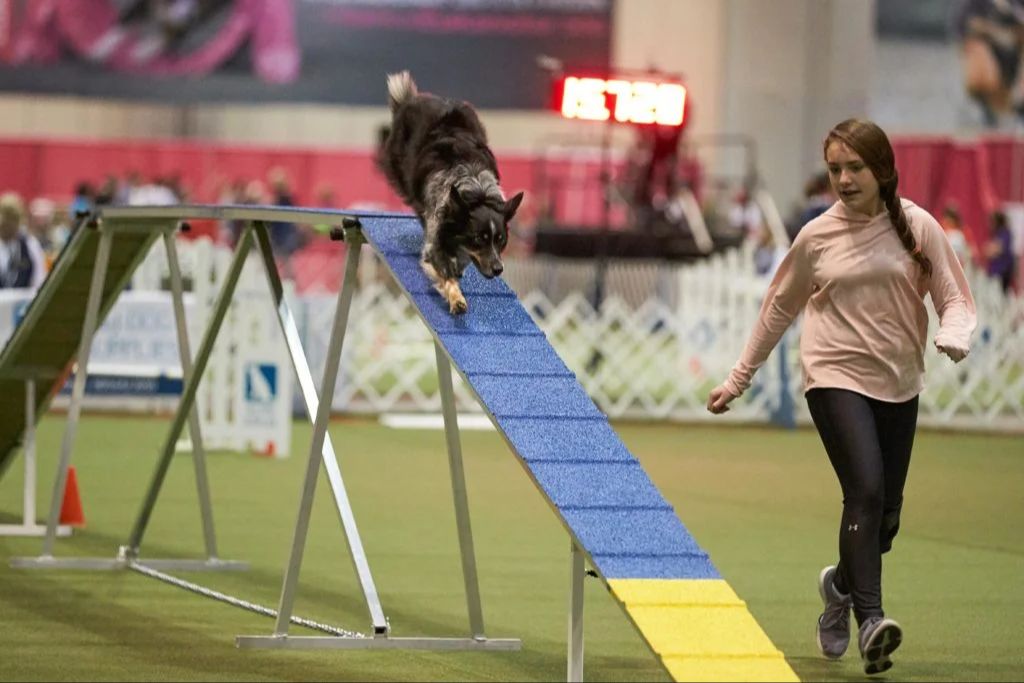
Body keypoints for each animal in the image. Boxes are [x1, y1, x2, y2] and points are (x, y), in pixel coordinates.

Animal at [376, 69, 524, 315]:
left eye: (500, 240)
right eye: (479, 239)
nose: (498, 269)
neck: (477, 190)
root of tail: (410, 101)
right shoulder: (436, 234)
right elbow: (445, 271)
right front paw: (456, 299)